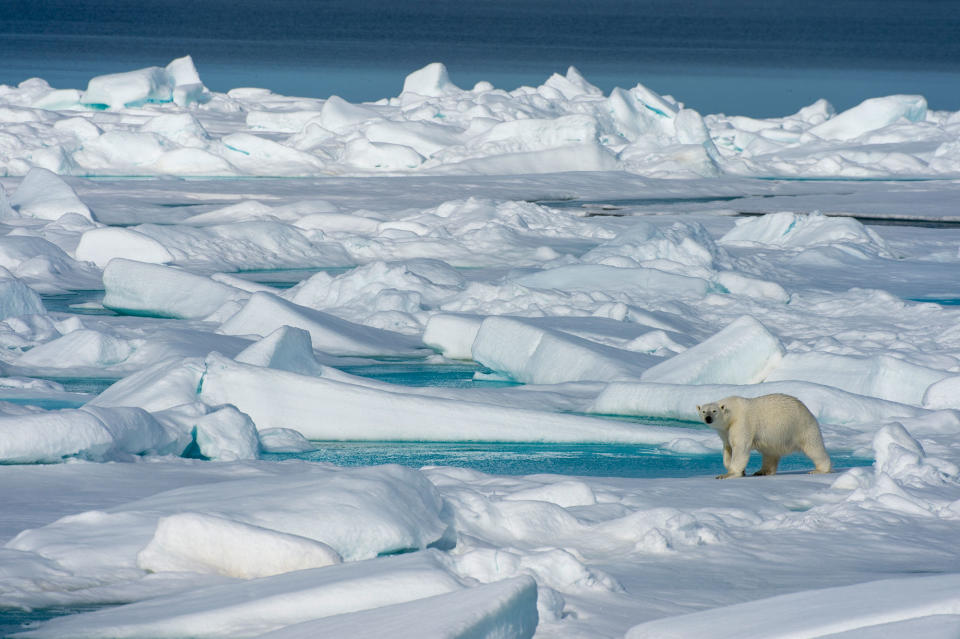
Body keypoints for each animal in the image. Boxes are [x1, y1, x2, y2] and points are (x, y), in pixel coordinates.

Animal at [696, 396, 832, 480]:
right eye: (703, 411)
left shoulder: (741, 423)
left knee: (814, 448)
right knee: (769, 454)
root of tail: (808, 411)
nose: (708, 418)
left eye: (714, 411)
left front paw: (727, 474)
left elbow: (740, 447)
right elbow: (728, 448)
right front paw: (740, 470)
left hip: (801, 427)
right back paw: (762, 471)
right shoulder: (724, 431)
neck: (731, 413)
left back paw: (819, 470)